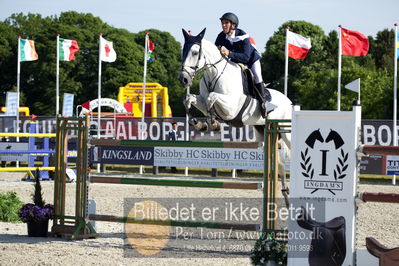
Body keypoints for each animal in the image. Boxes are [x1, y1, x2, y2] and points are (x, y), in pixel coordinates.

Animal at [178, 28, 294, 204]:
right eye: (183, 51)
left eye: (195, 52)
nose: (183, 79)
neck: (214, 74)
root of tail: (288, 101)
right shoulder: (202, 101)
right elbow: (189, 99)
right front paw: (200, 123)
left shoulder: (231, 108)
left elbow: (212, 97)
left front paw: (214, 124)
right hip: (263, 132)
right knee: (279, 164)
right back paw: (286, 197)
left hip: (286, 131)